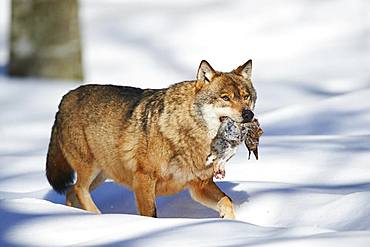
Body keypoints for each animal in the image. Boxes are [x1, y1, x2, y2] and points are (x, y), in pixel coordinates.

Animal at [44, 60, 256, 220]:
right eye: (225, 98)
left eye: (246, 97)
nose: (248, 114)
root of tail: (65, 98)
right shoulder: (143, 178)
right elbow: (150, 214)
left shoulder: (199, 185)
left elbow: (227, 201)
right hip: (90, 169)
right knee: (79, 188)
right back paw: (97, 215)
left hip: (101, 174)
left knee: (71, 191)